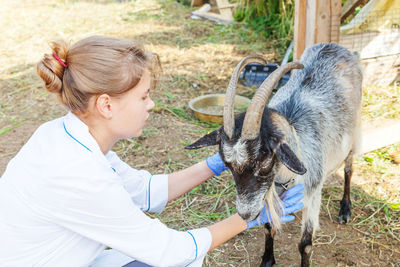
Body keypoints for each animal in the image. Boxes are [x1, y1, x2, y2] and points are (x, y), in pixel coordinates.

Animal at [186, 43, 364, 266]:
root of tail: (334, 46)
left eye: (263, 162)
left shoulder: (313, 193)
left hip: (354, 131)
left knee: (349, 167)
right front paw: (267, 260)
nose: (245, 214)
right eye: (226, 164)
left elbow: (305, 244)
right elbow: (269, 225)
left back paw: (345, 209)